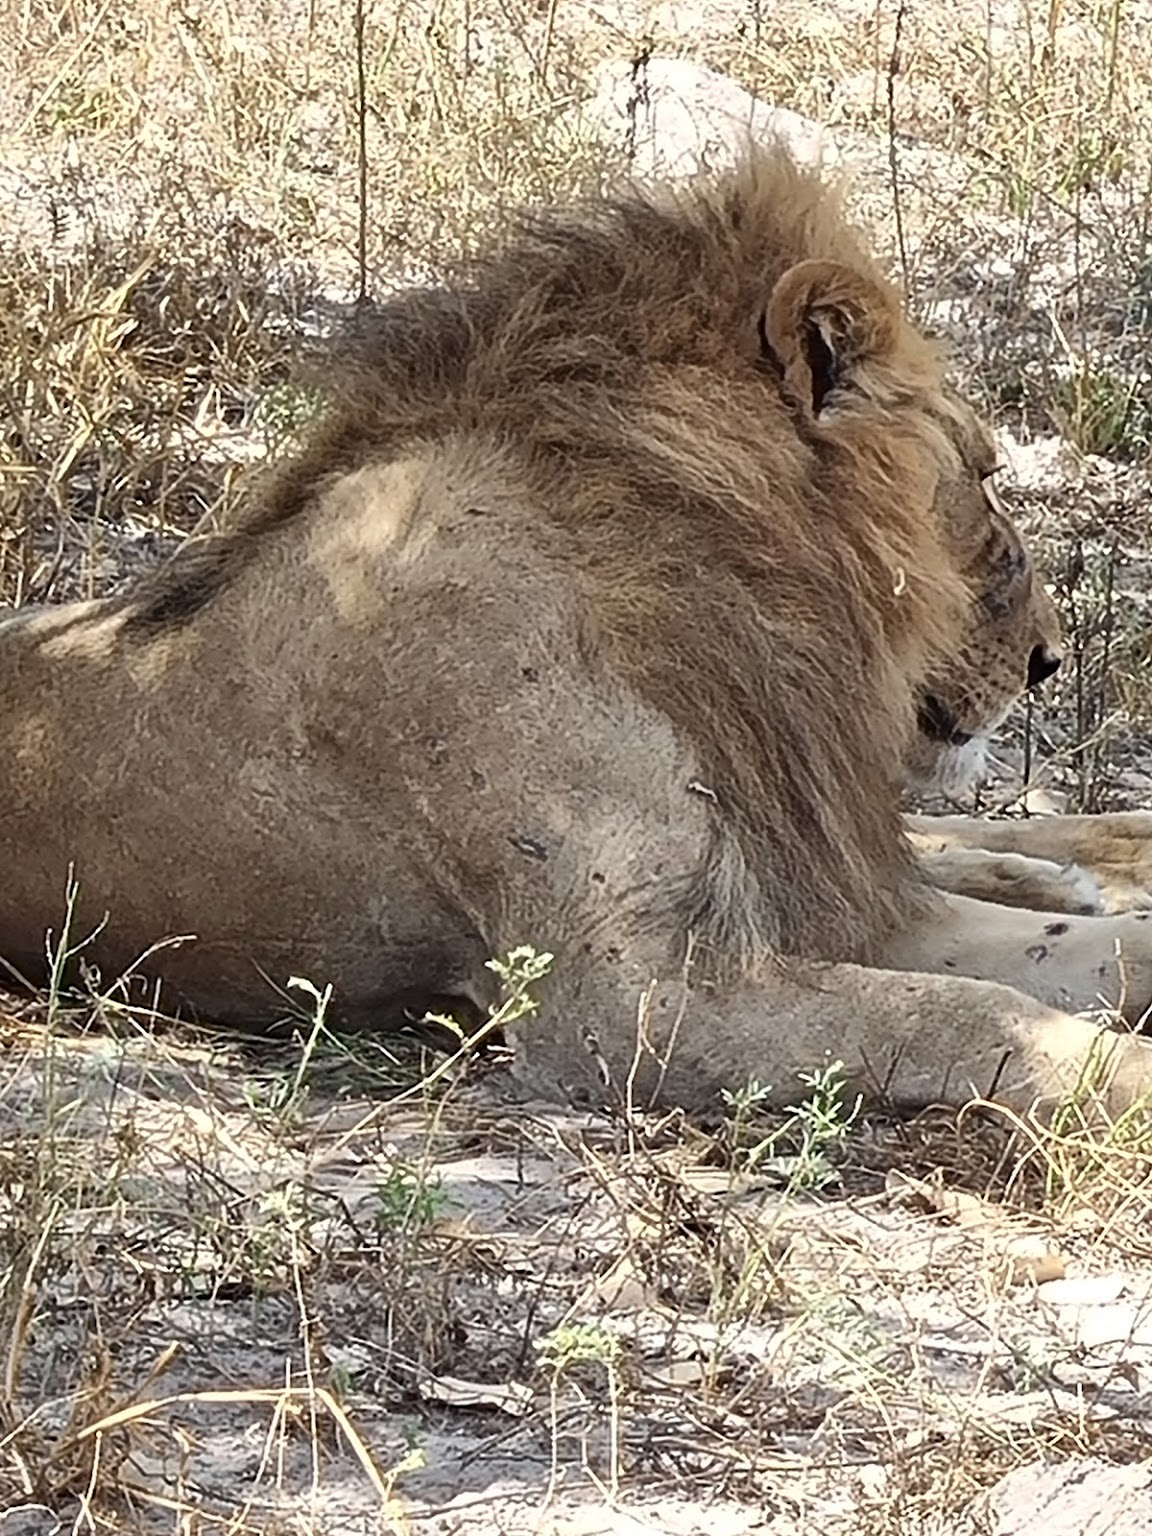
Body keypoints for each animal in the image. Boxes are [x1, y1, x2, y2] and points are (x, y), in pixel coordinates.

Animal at [3, 146, 1152, 1119]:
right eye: (986, 475)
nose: (1049, 659)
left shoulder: (799, 885)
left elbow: (1081, 952)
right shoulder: (628, 1002)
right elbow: (976, 1015)